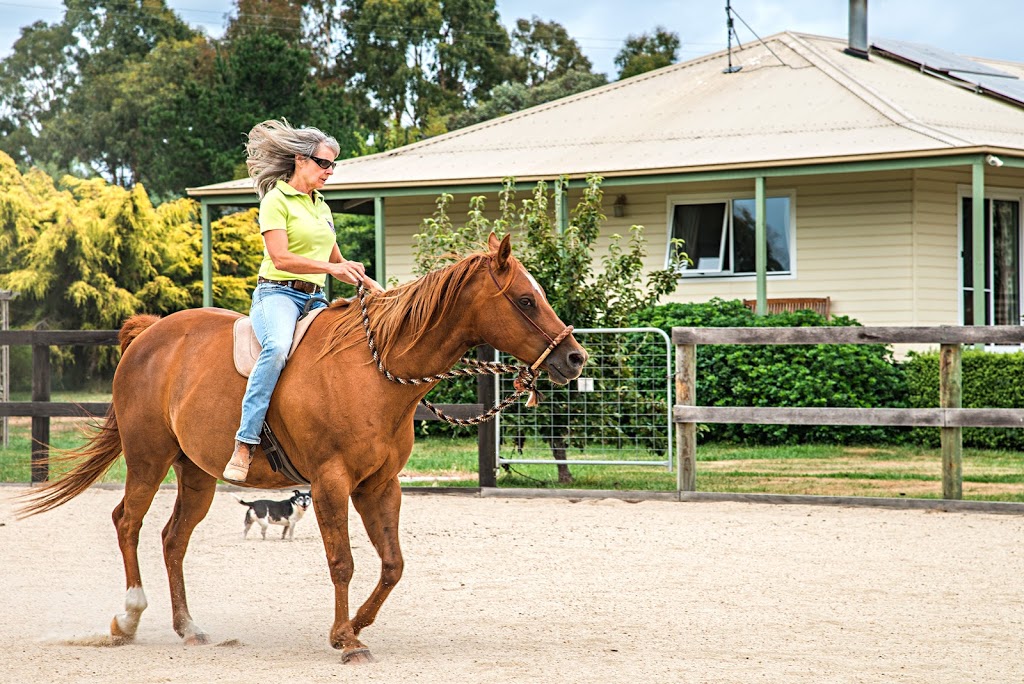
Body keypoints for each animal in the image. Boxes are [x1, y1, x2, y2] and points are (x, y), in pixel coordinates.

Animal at [19, 233, 589, 663]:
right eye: (525, 299)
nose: (575, 358)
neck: (372, 372)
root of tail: (147, 335)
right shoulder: (331, 483)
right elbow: (342, 562)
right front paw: (346, 640)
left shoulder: (380, 485)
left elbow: (392, 563)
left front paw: (357, 623)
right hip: (147, 459)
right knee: (128, 523)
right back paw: (129, 617)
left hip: (196, 473)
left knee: (172, 538)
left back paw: (189, 628)